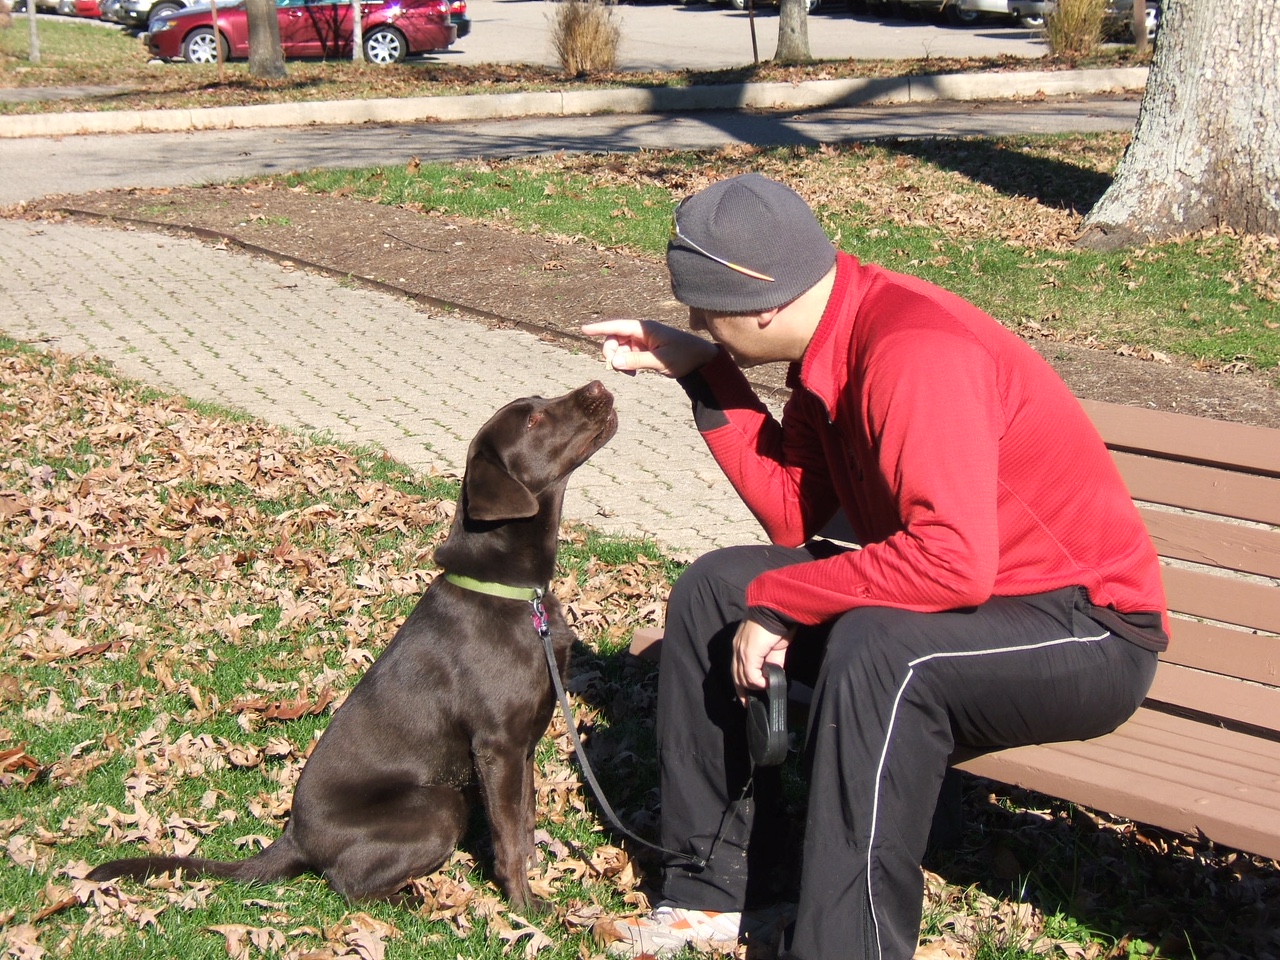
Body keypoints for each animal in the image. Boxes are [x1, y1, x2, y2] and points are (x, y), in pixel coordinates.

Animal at [88, 381, 618, 911]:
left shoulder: (524, 743)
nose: (598, 386)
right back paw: (415, 903)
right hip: (439, 802)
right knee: (346, 884)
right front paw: (525, 907)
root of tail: (293, 838)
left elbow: (525, 821)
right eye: (532, 421)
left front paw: (536, 878)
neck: (517, 593)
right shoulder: (498, 743)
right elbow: (508, 834)